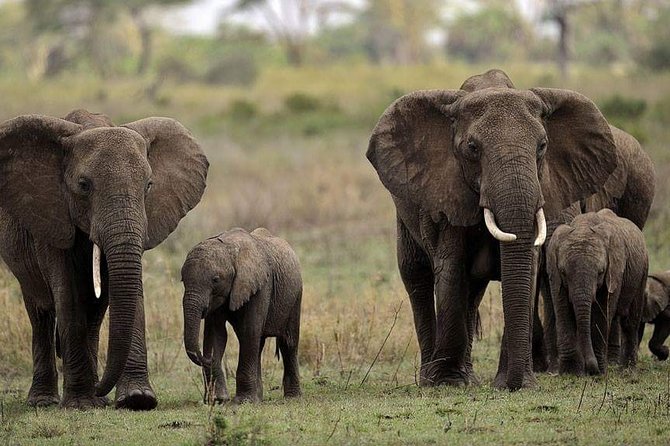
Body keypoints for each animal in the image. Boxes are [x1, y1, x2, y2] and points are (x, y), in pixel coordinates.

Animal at [0, 110, 209, 410]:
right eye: (83, 186)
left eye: (148, 186)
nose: (101, 391)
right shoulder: (53, 218)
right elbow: (68, 295)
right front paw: (80, 404)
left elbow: (131, 290)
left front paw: (137, 399)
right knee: (40, 310)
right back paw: (44, 401)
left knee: (95, 313)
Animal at [181, 228, 302, 402]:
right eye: (182, 279)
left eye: (216, 280)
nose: (207, 358)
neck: (230, 250)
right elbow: (216, 333)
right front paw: (219, 400)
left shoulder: (261, 286)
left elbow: (249, 330)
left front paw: (243, 402)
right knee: (258, 344)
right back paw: (259, 398)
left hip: (295, 295)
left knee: (288, 342)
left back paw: (292, 398)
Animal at [544, 208, 652, 372]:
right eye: (563, 272)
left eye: (601, 272)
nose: (590, 368)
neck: (583, 227)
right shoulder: (555, 274)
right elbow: (562, 310)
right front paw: (570, 372)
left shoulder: (614, 270)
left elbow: (601, 313)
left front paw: (598, 371)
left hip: (642, 271)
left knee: (630, 322)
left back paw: (627, 370)